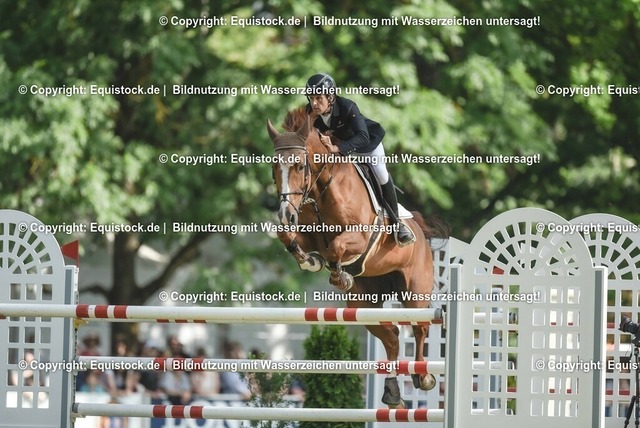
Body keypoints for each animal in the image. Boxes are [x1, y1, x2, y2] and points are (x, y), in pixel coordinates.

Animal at [267, 107, 446, 408]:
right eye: (273, 168)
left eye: (300, 166)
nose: (285, 213)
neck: (321, 188)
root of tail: (422, 234)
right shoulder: (307, 234)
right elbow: (288, 237)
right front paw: (308, 260)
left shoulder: (360, 237)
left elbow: (335, 248)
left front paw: (338, 275)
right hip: (365, 303)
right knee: (392, 337)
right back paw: (393, 394)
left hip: (415, 292)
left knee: (420, 329)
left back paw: (423, 377)